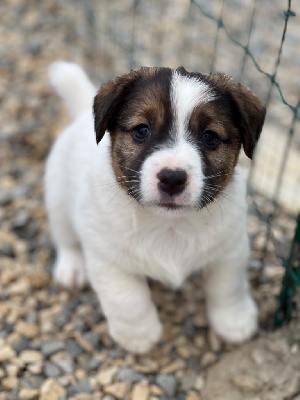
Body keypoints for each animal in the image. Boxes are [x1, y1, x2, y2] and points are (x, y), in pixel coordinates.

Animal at [44, 62, 264, 354]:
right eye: (141, 130)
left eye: (210, 137)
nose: (172, 178)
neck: (169, 225)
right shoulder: (108, 260)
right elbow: (128, 299)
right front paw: (139, 335)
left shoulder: (230, 251)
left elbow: (228, 288)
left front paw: (235, 322)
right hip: (58, 201)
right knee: (66, 239)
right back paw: (72, 269)